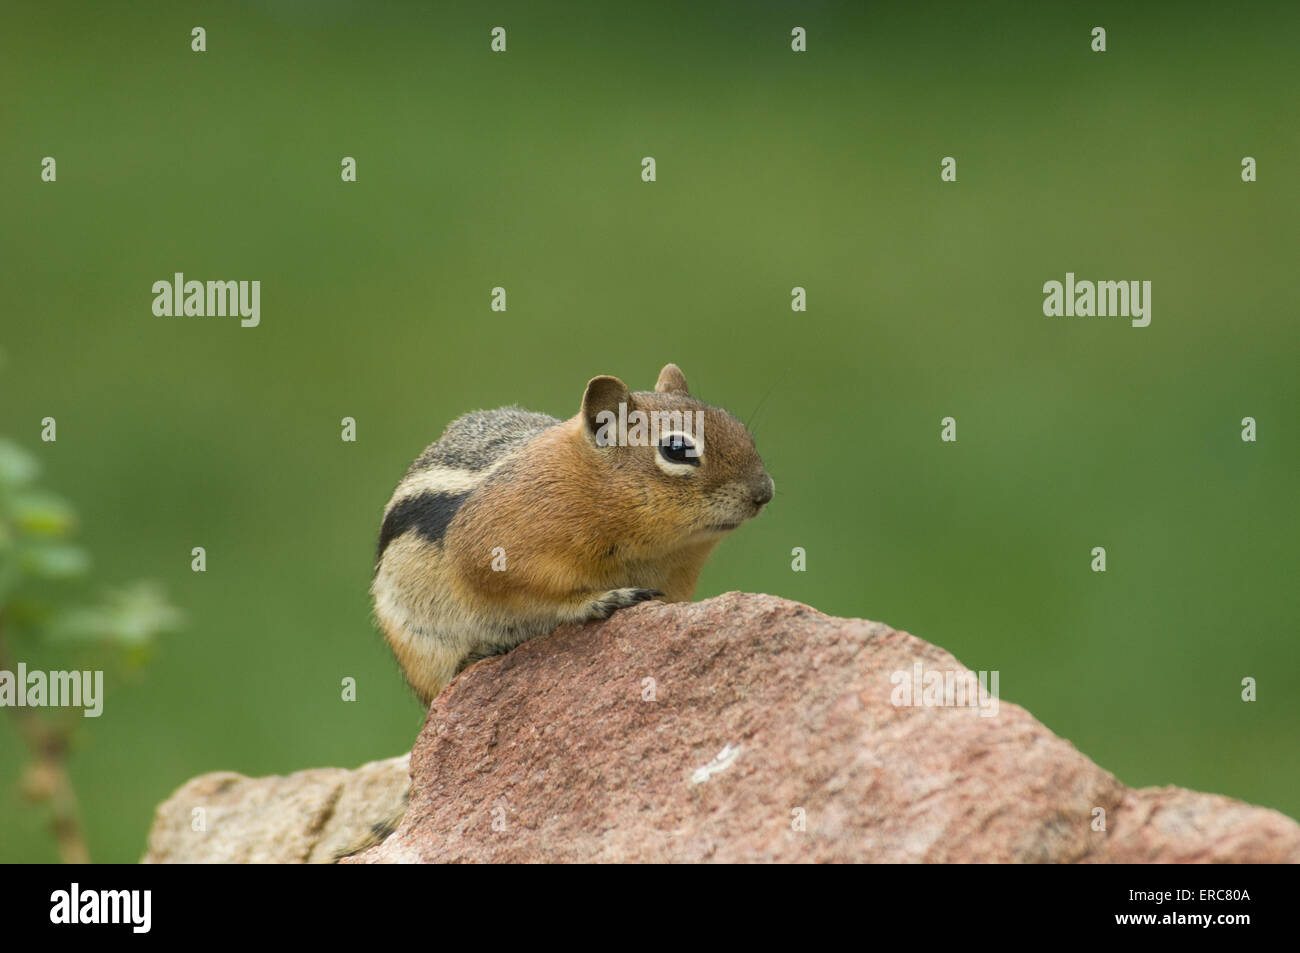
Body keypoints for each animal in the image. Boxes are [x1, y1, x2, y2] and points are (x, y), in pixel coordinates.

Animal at [369, 361, 769, 702]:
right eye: (676, 449)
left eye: (738, 427)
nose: (764, 492)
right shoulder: (495, 559)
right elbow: (541, 596)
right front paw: (603, 599)